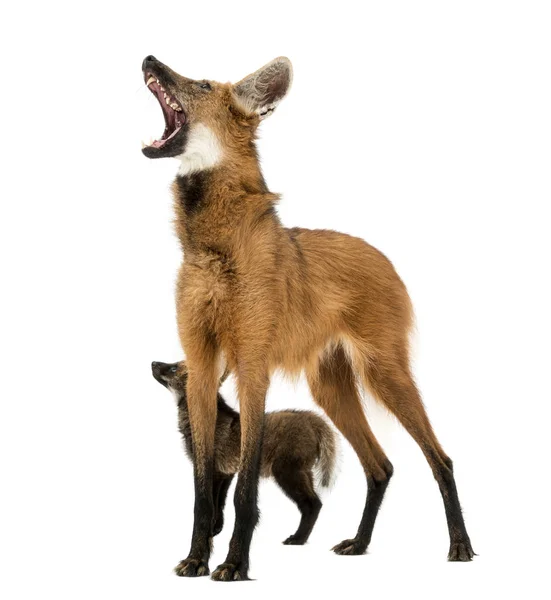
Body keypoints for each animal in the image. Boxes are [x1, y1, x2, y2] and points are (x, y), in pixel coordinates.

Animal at [141, 56, 474, 580]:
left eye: (202, 85)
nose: (150, 59)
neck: (212, 248)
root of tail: (382, 255)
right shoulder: (203, 364)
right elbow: (200, 489)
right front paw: (196, 559)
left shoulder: (251, 366)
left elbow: (244, 489)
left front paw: (234, 565)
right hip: (330, 388)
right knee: (380, 466)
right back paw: (359, 543)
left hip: (384, 374)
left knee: (441, 458)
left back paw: (460, 545)